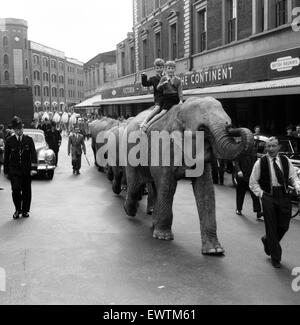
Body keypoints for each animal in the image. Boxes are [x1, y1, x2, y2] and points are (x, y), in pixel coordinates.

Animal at [121, 97, 253, 254]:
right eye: (203, 129)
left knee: (152, 185)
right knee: (135, 186)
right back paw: (129, 211)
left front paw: (214, 251)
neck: (181, 110)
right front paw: (163, 237)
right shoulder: (164, 146)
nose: (231, 126)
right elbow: (168, 186)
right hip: (130, 153)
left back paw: (152, 221)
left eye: (229, 122)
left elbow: (205, 190)